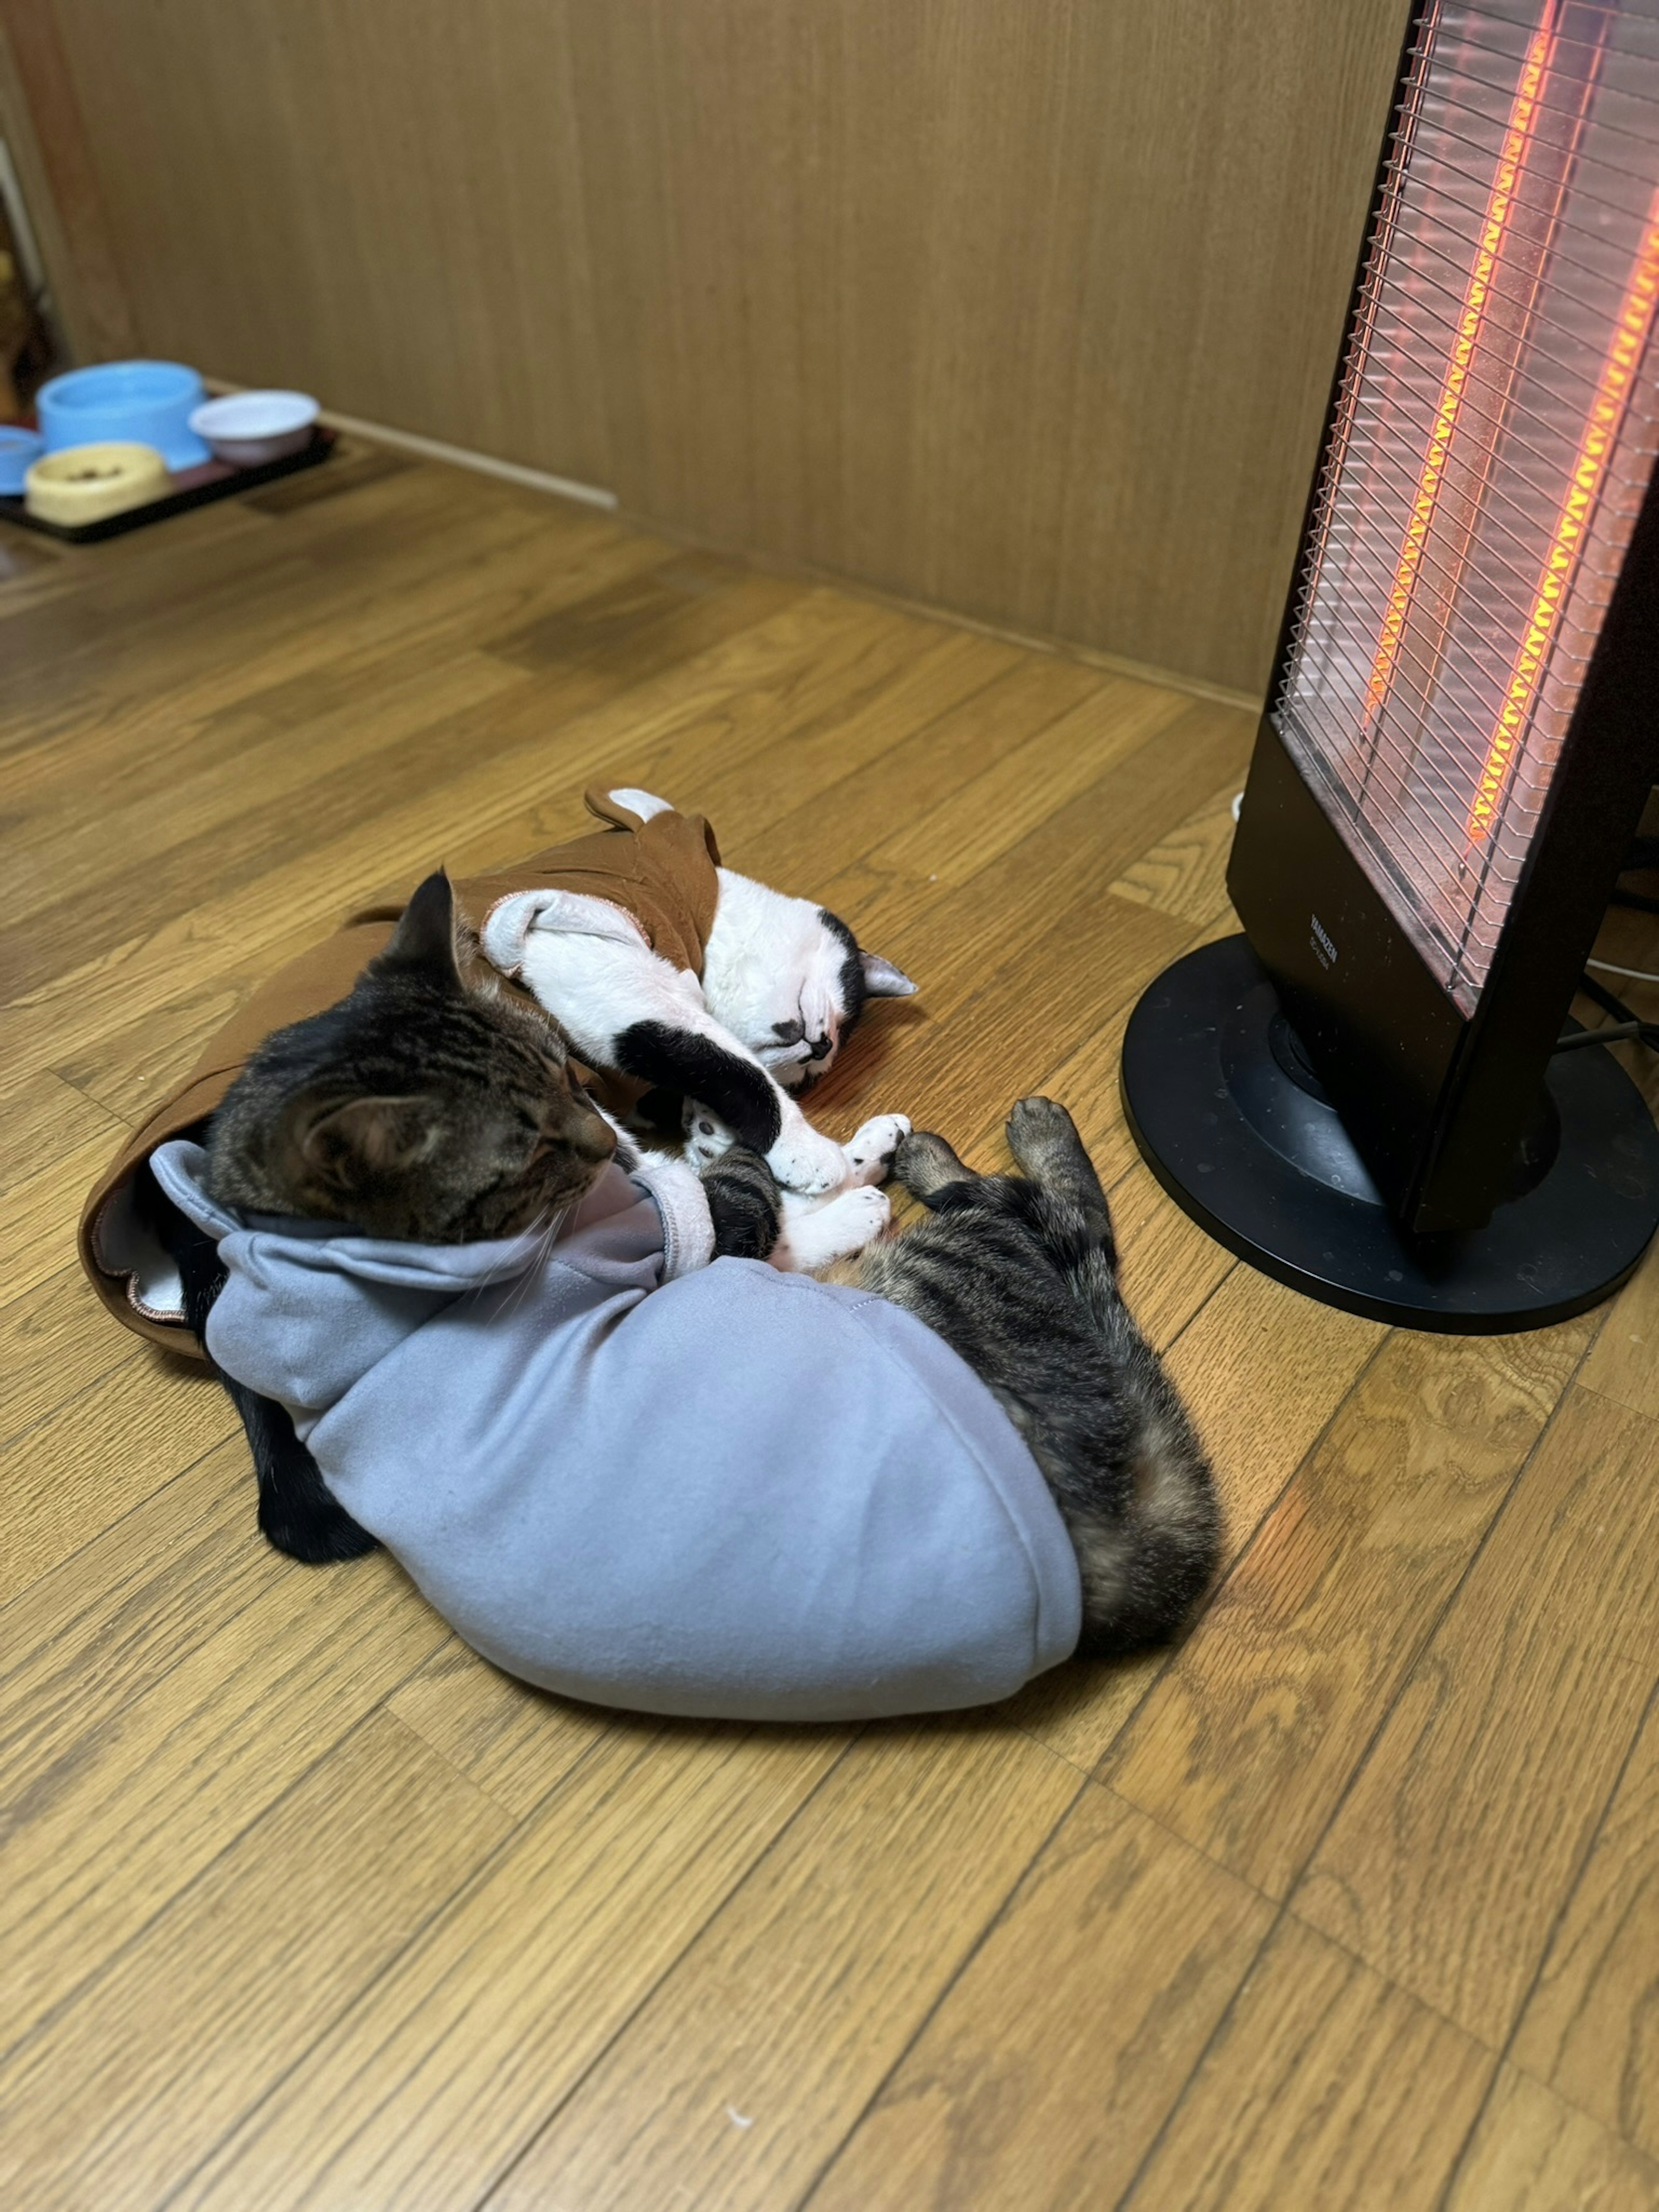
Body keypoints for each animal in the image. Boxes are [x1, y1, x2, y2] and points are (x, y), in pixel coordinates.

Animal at [480, 791, 925, 1194]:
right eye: (843, 1007)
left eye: (811, 1074)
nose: (822, 1047)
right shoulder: (606, 971)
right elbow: (733, 1065)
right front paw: (800, 1146)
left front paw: (705, 1123)